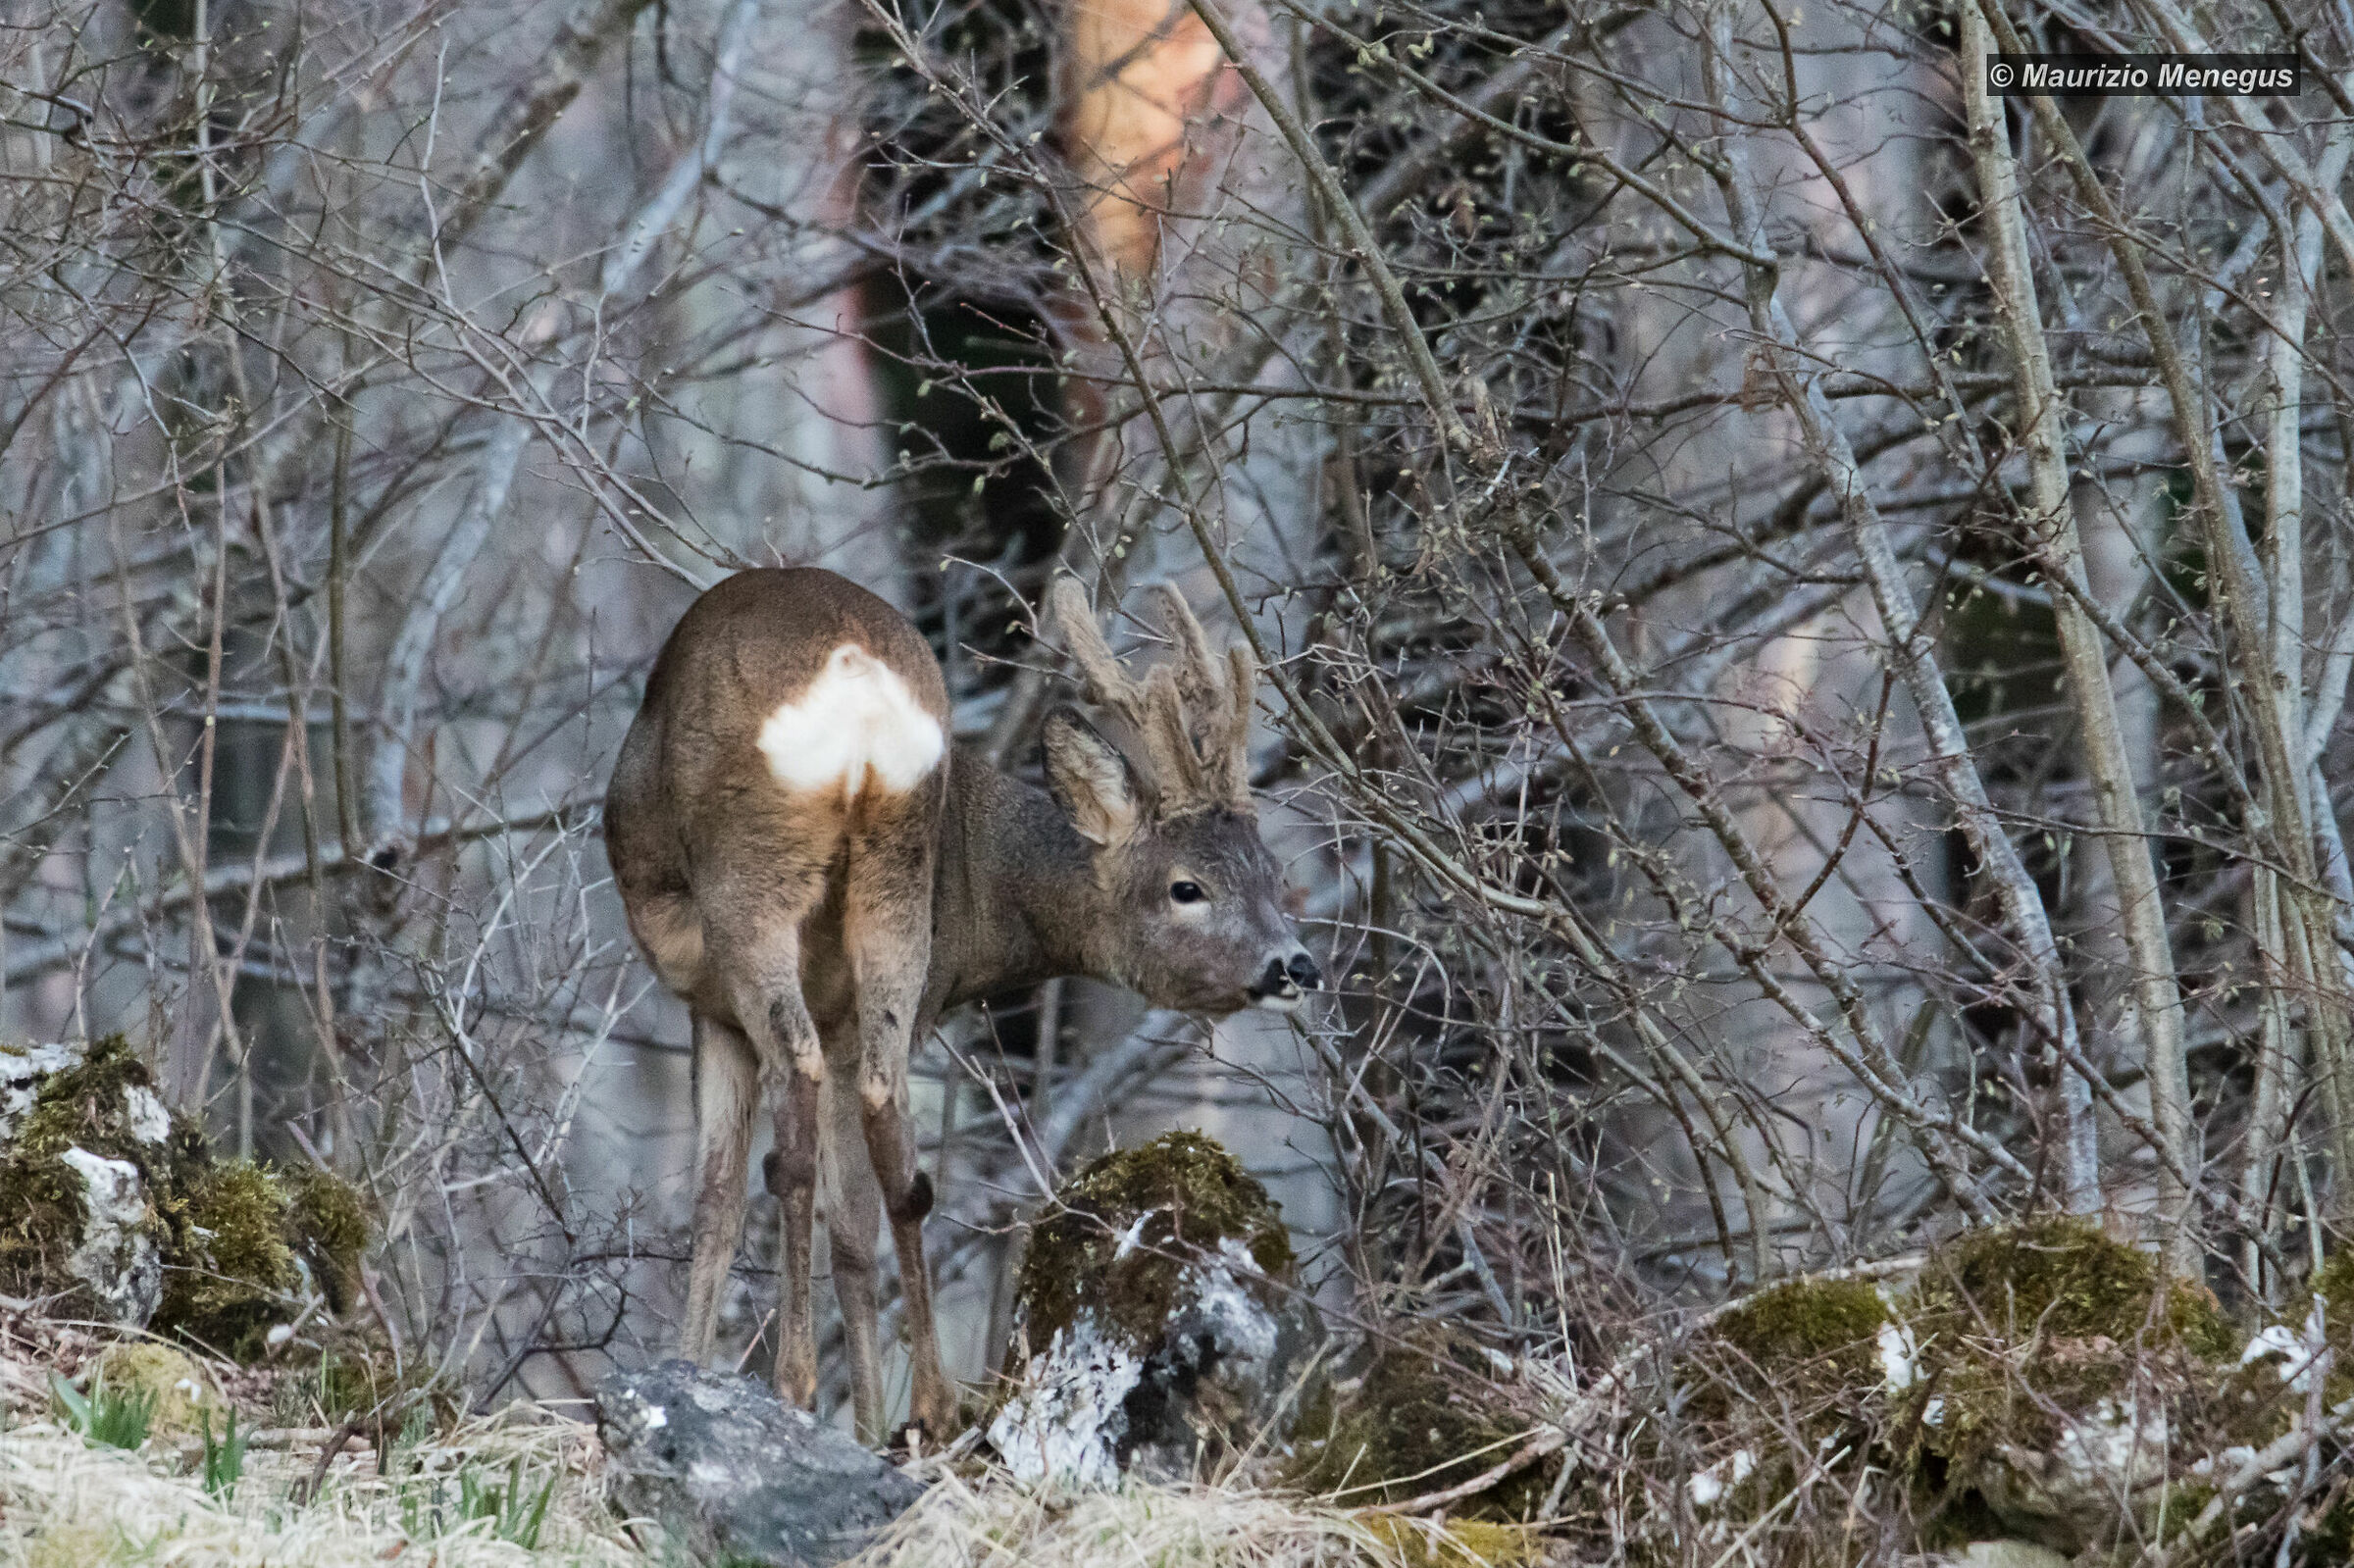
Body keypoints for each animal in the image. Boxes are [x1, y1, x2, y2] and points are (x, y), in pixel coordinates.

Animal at [603, 566, 1321, 1444]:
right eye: (1190, 885)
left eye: (1269, 873)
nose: (1295, 964)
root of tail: (854, 675)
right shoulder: (789, 1007)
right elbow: (768, 1212)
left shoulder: (717, 1003)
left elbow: (733, 1207)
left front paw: (698, 1372)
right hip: (895, 887)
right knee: (889, 1139)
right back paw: (928, 1406)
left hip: (754, 884)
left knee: (807, 1110)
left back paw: (803, 1383)